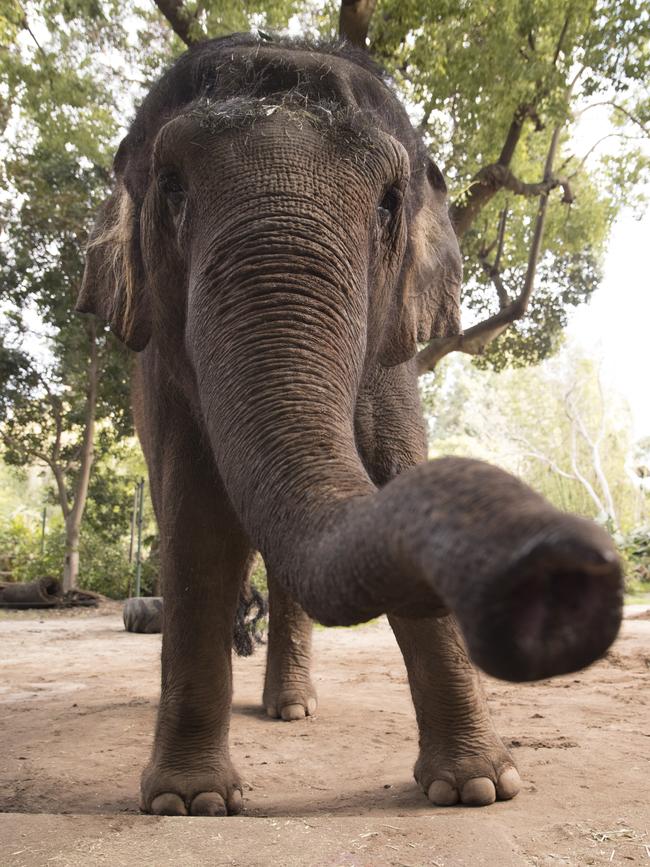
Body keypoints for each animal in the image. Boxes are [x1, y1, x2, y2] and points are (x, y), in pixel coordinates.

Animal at [73, 34, 620, 816]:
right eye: (171, 187)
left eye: (390, 203)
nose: (565, 571)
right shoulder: (166, 381)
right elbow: (198, 523)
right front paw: (189, 802)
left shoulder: (396, 353)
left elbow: (395, 472)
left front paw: (479, 787)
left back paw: (292, 709)